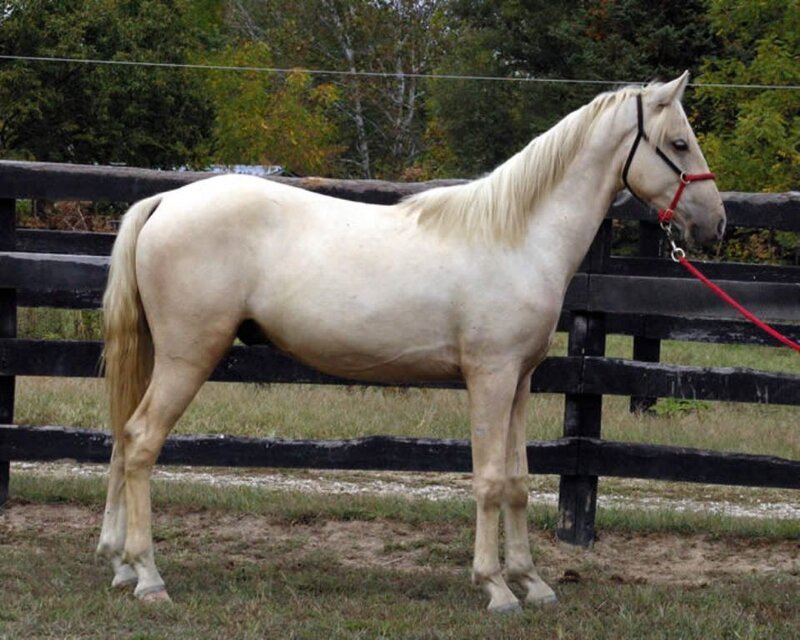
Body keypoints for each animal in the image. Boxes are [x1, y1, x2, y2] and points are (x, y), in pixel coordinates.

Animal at [96, 72, 725, 611]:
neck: (518, 237)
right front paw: (495, 587)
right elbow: (489, 480)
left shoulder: (521, 380)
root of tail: (165, 201)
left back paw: (120, 564)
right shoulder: (490, 378)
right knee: (142, 441)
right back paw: (149, 576)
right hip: (187, 357)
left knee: (124, 441)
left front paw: (532, 582)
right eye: (679, 142)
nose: (715, 223)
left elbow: (518, 481)